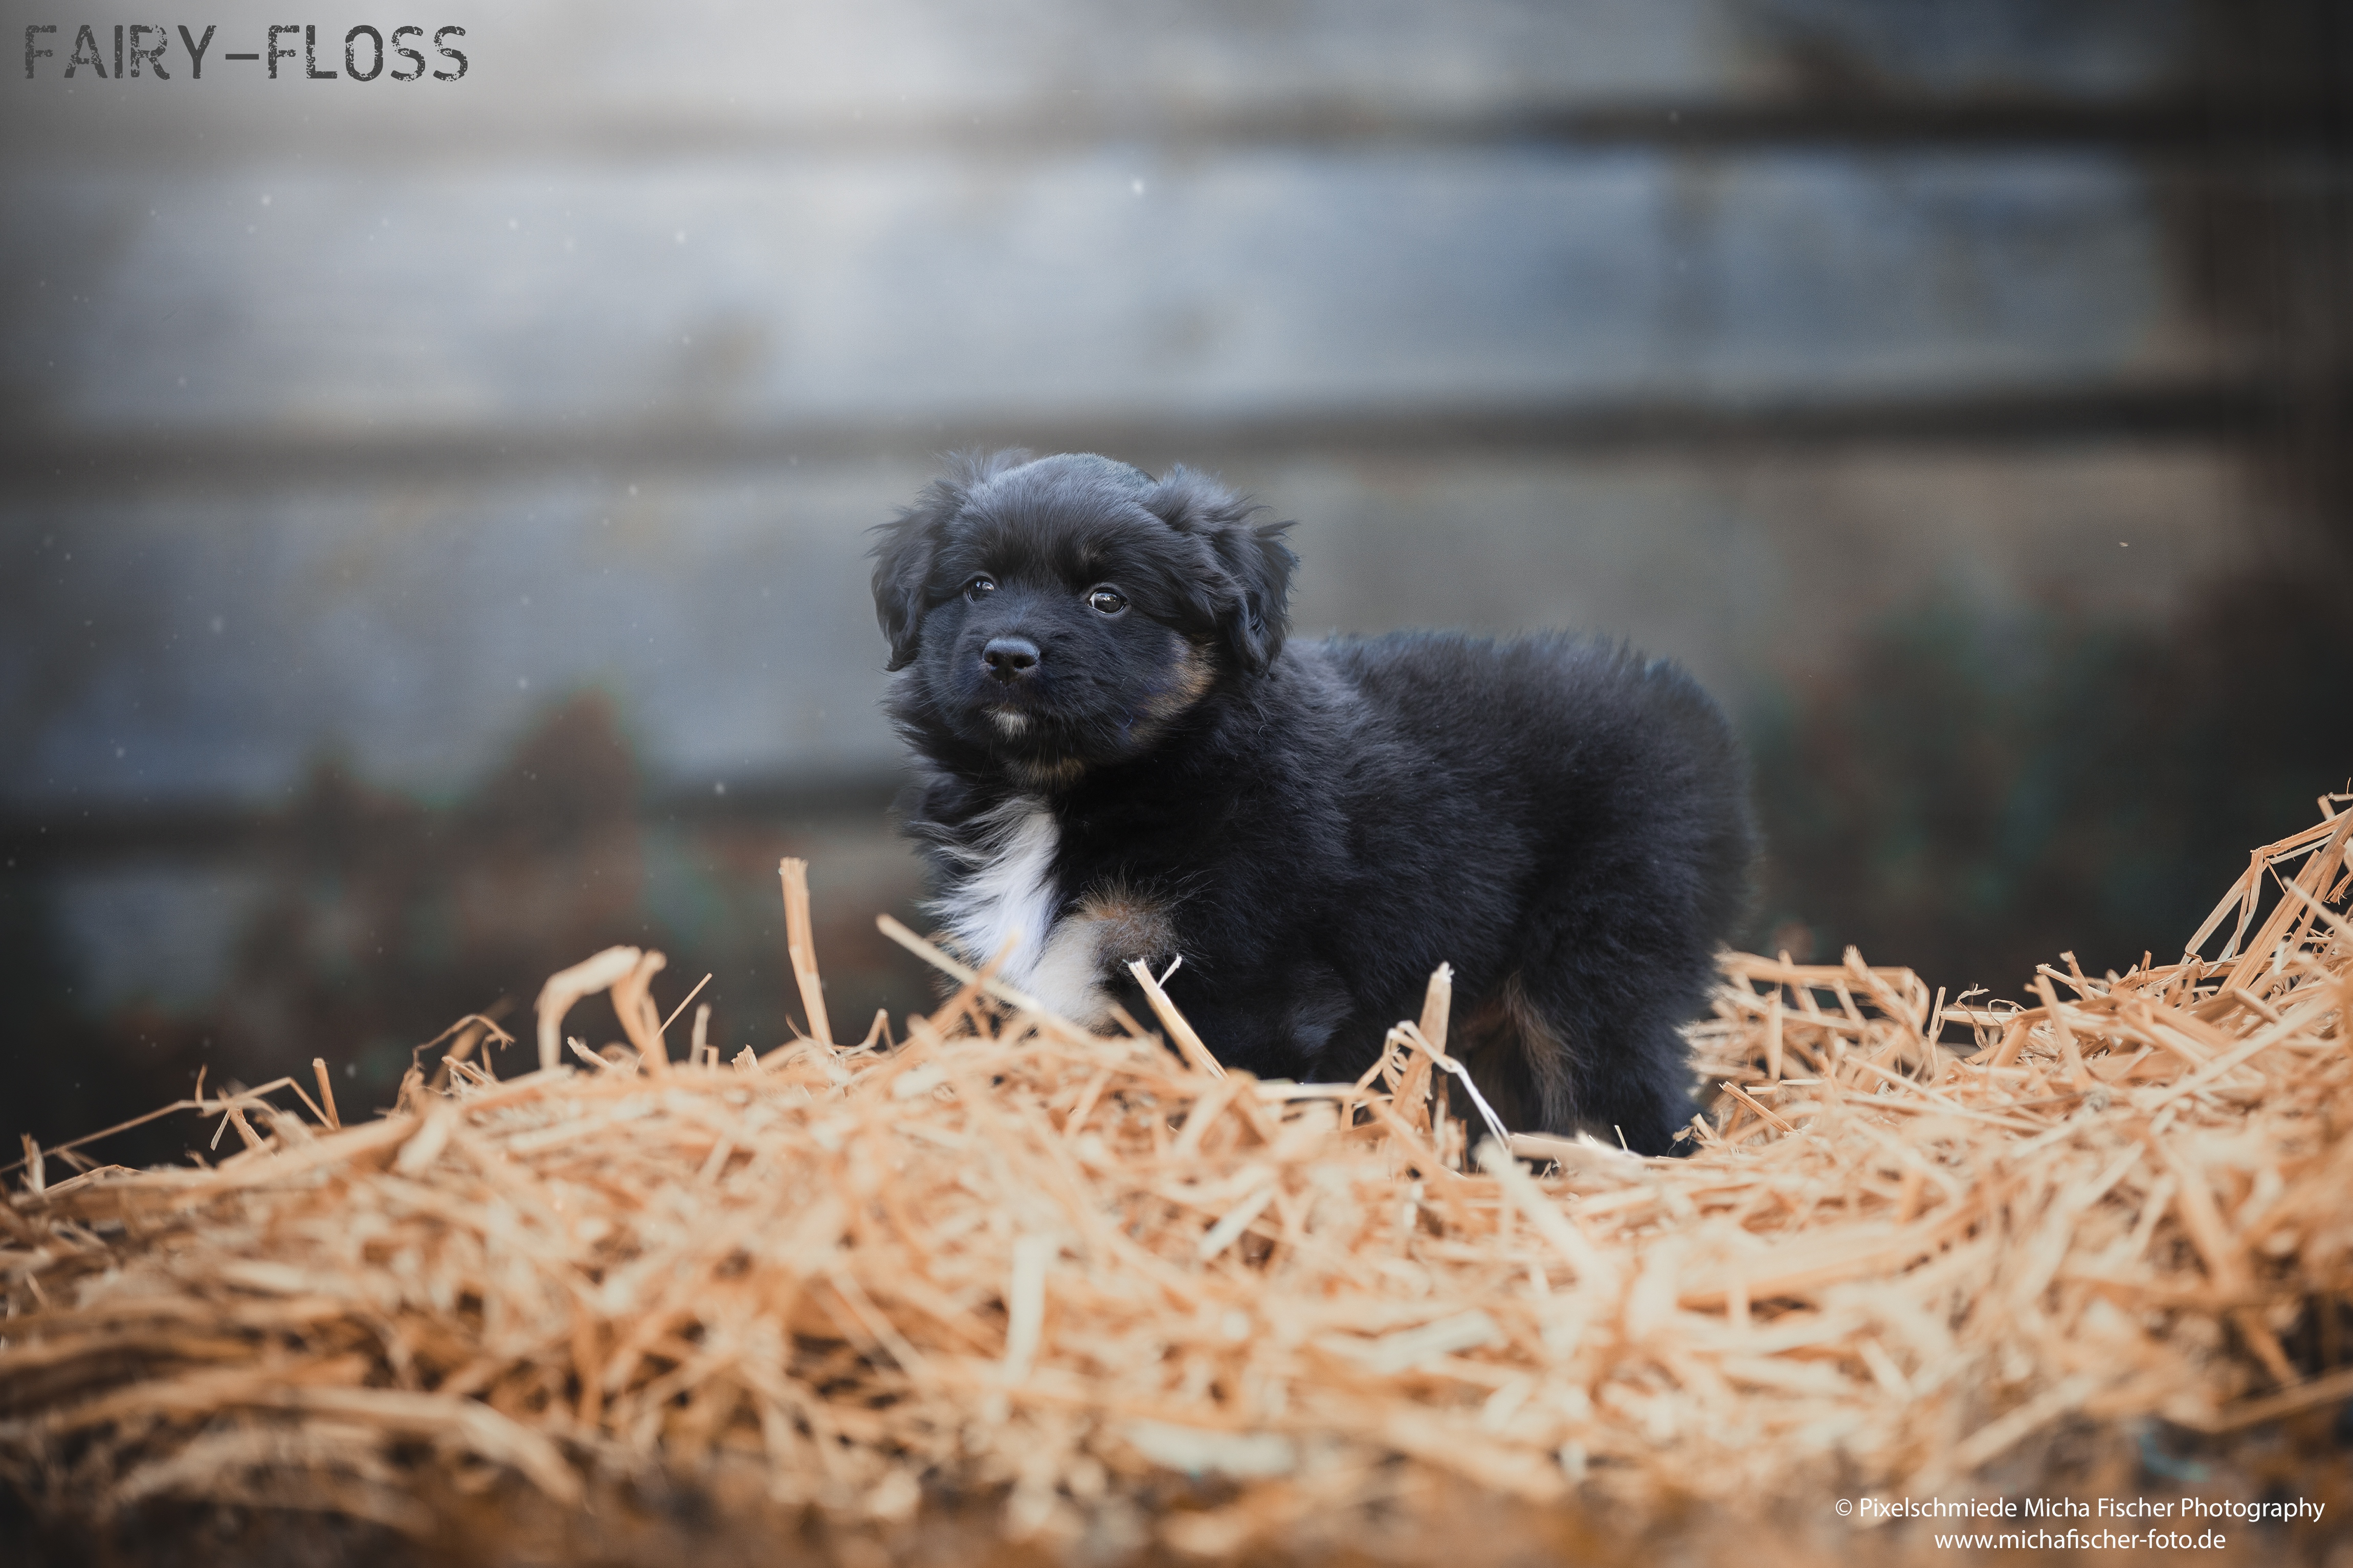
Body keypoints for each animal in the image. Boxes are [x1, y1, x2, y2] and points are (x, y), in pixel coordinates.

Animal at [875, 451, 1760, 1152]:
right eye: (979, 586)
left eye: (1107, 598)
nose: (1007, 655)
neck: (1077, 788)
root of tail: (1686, 718)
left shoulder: (1246, 989)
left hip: (1594, 969)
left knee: (1623, 1105)